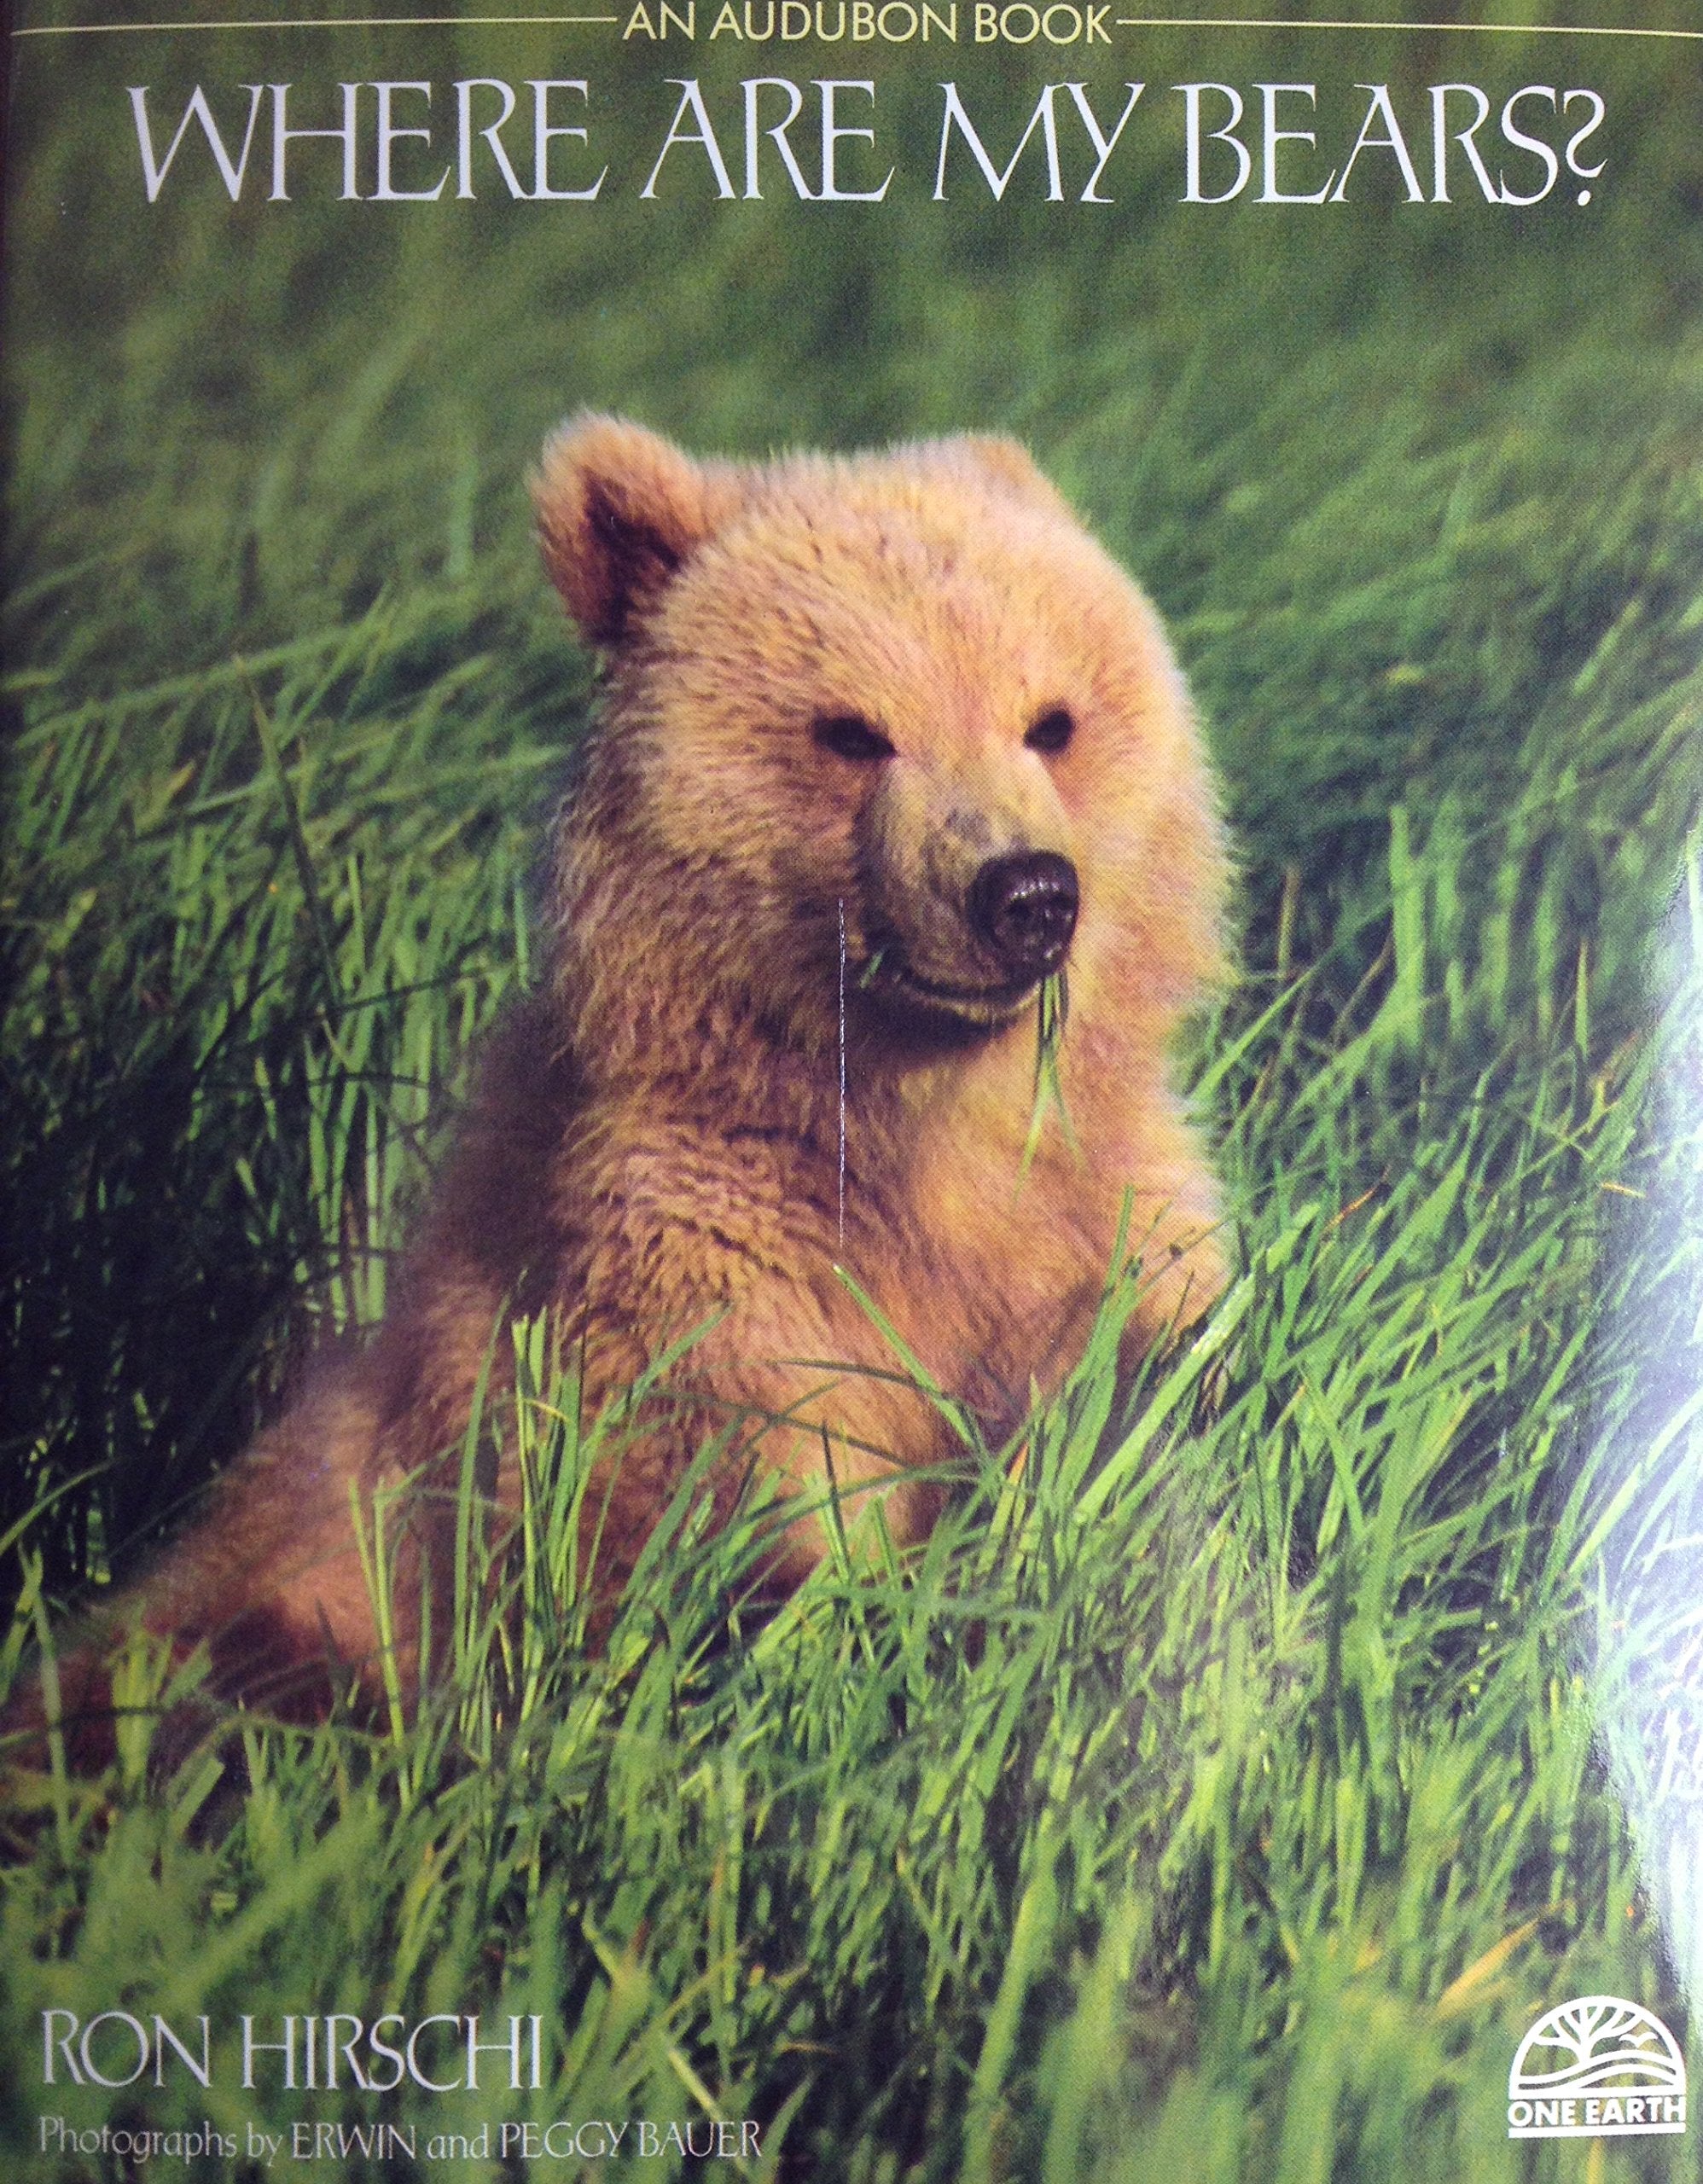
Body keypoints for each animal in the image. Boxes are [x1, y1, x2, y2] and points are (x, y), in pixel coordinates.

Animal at [9, 417, 1228, 1758]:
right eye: (853, 729)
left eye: (1049, 719)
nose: (1024, 893)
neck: (925, 1112)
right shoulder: (689, 1269)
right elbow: (723, 1524)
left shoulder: (1102, 1232)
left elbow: (1151, 1421)